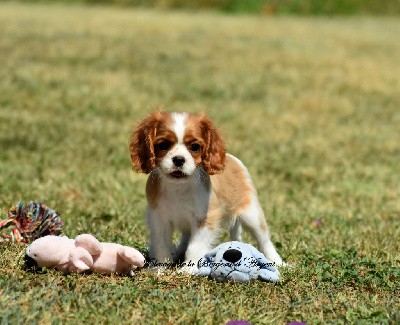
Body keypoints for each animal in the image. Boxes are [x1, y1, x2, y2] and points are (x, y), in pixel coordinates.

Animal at [130, 111, 282, 270]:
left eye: (195, 147)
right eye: (163, 145)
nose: (179, 159)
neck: (179, 186)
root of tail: (232, 159)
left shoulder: (205, 219)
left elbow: (195, 246)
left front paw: (188, 268)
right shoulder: (159, 218)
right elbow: (161, 245)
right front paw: (160, 268)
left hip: (251, 214)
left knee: (264, 240)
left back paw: (277, 262)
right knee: (185, 237)